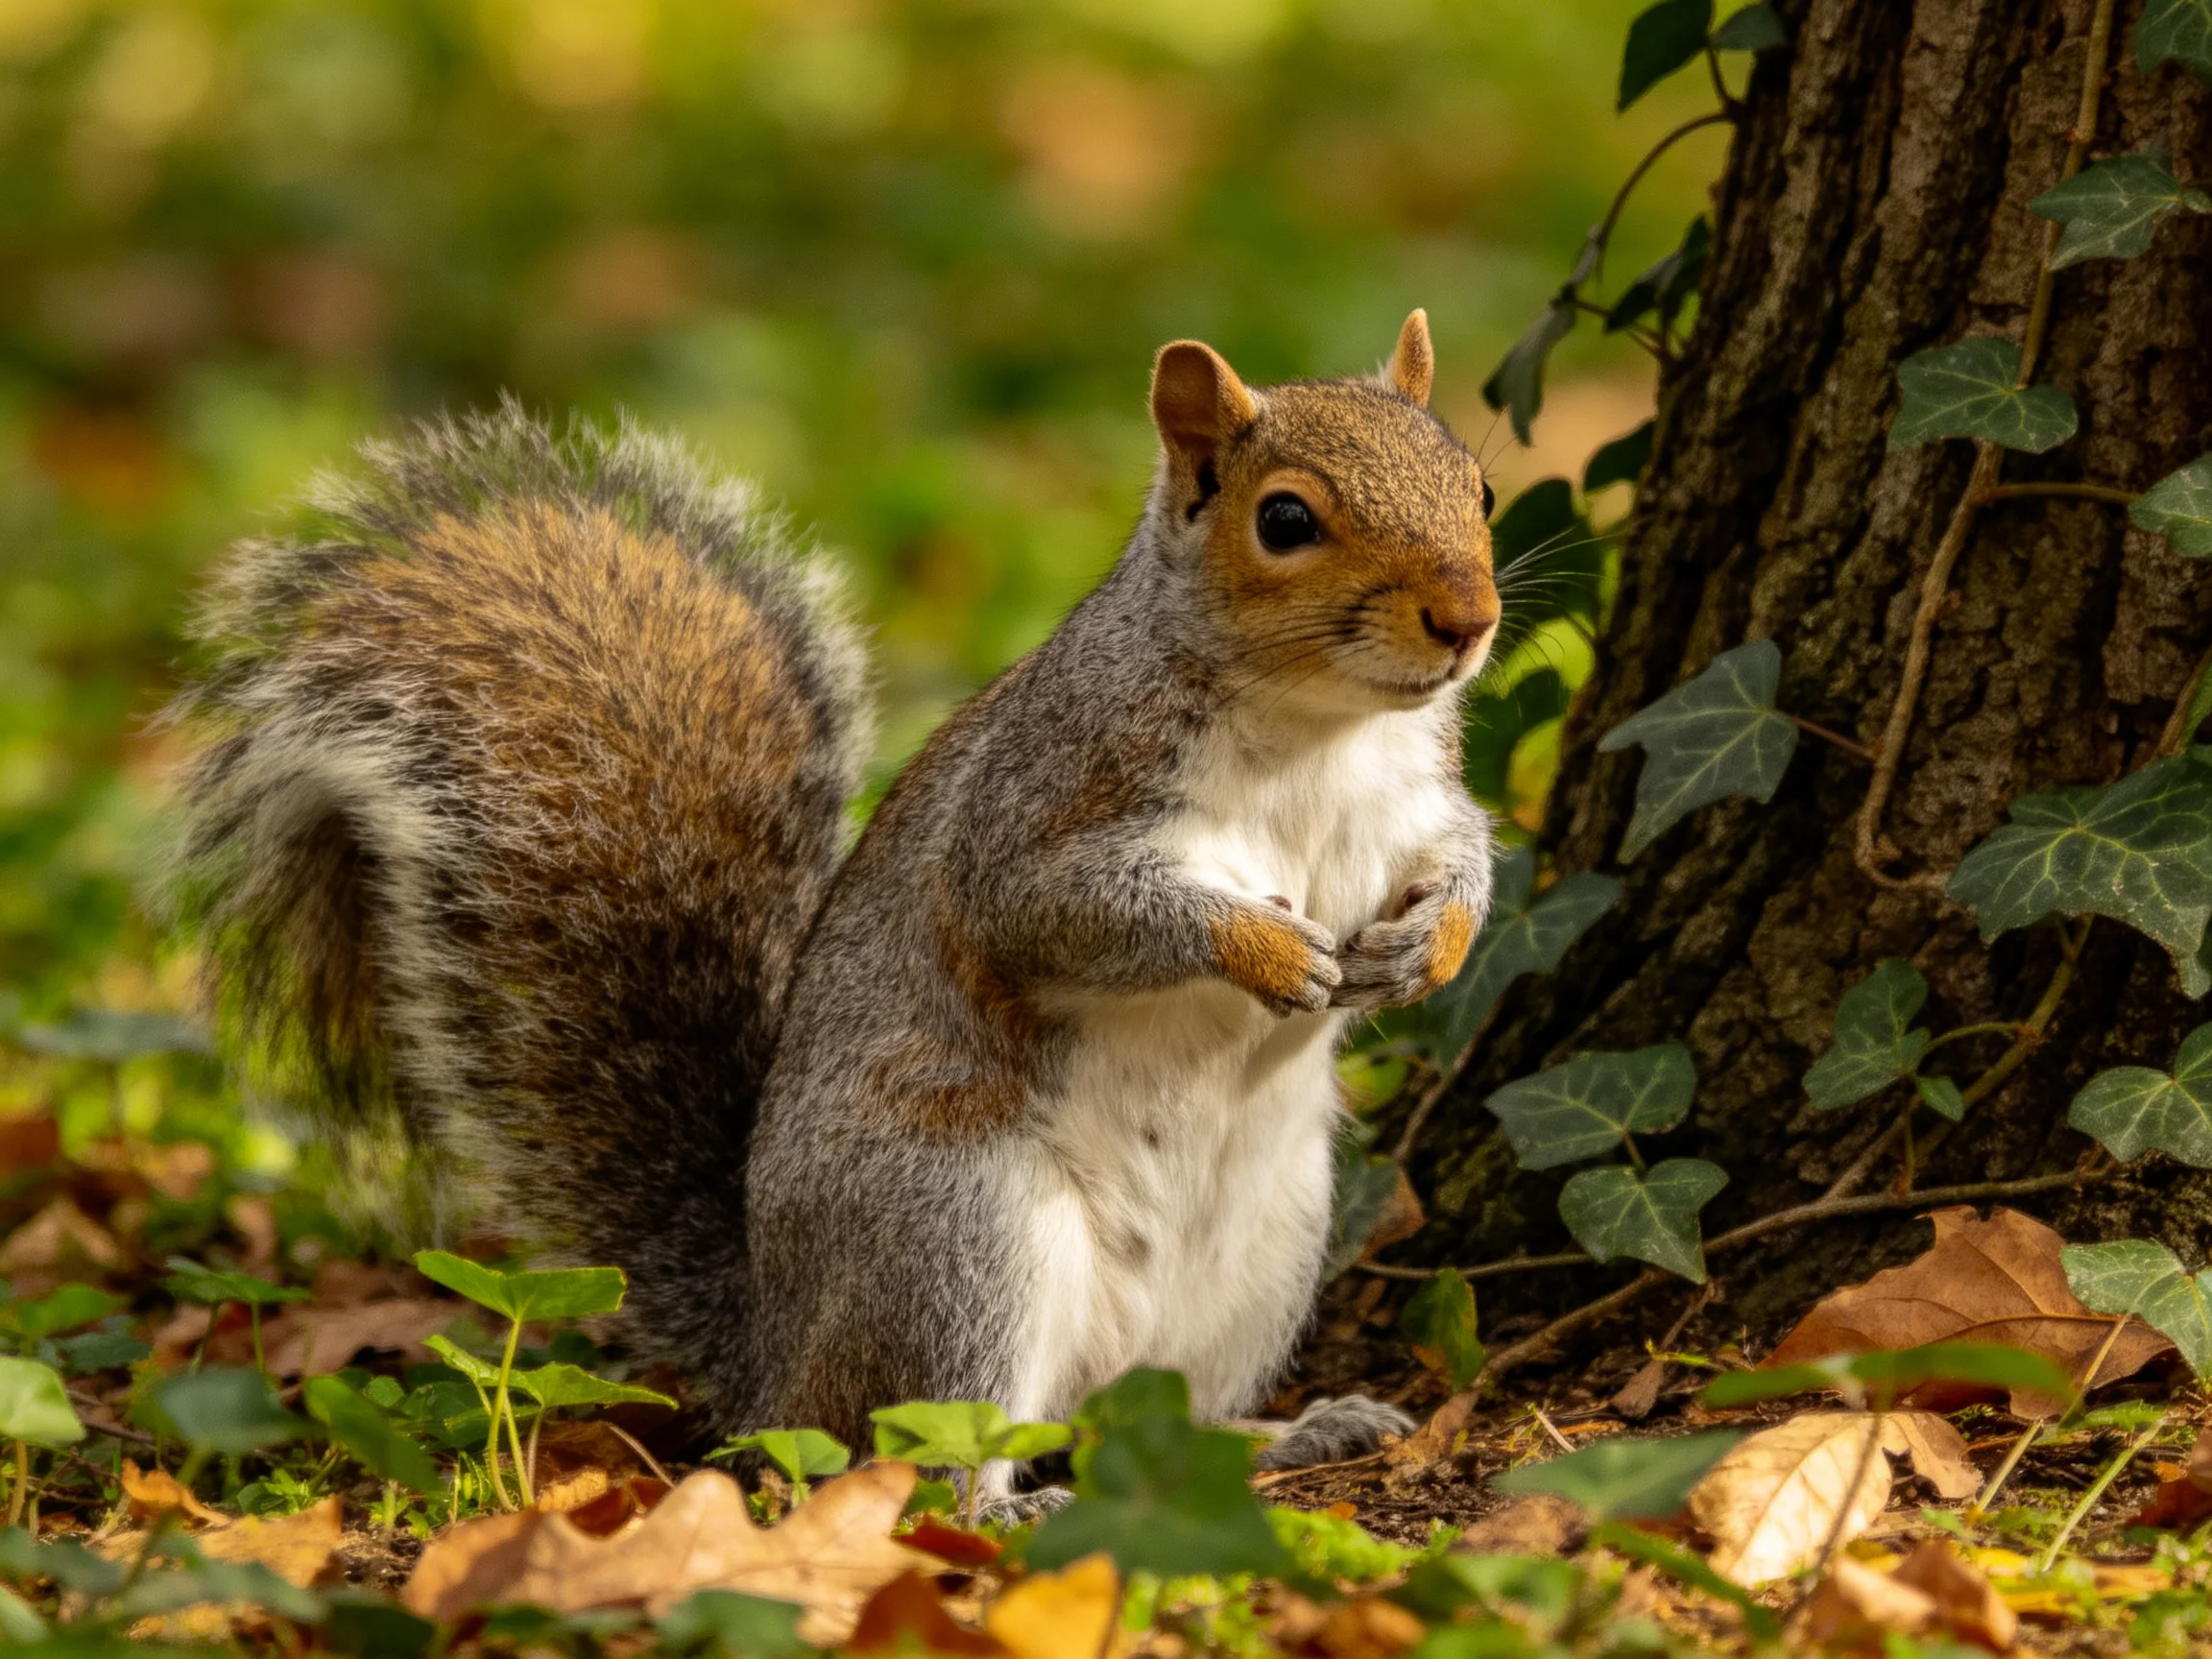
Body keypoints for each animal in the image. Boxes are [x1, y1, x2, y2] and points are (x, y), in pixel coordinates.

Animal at [170, 309, 1500, 1500]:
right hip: (955, 1240)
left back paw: (1286, 1434)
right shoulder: (1043, 803)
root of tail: (773, 1360)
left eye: (1480, 487)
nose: (1470, 621)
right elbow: (1058, 914)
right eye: (1286, 520)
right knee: (899, 1449)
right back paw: (1002, 1505)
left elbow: (1469, 858)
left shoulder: (1421, 801)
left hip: (1269, 1253)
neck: (1316, 728)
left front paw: (1431, 950)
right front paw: (1266, 950)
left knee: (1140, 1419)